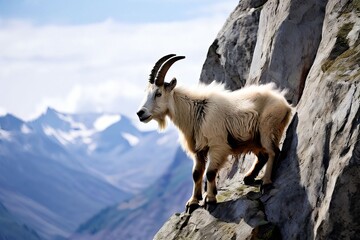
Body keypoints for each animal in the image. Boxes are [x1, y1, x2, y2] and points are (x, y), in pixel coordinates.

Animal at [136, 54, 292, 212]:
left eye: (158, 93)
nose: (140, 113)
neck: (196, 111)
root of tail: (285, 104)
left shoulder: (217, 145)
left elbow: (210, 172)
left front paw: (210, 199)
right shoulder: (198, 150)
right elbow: (196, 174)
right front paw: (192, 202)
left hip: (268, 128)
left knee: (273, 152)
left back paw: (265, 183)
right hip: (254, 139)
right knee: (263, 156)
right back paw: (248, 177)